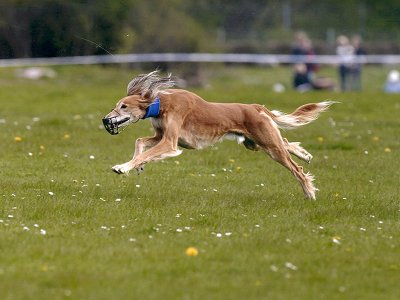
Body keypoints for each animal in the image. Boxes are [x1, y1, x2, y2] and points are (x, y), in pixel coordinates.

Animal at [103, 71, 334, 199]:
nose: (106, 120)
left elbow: (145, 151)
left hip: (269, 145)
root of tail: (254, 106)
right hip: (255, 143)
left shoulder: (170, 142)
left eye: (123, 106)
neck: (160, 103)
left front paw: (123, 167)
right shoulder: (161, 136)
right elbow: (139, 142)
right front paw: (137, 166)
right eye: (117, 106)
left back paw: (309, 192)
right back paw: (304, 154)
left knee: (296, 169)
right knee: (285, 142)